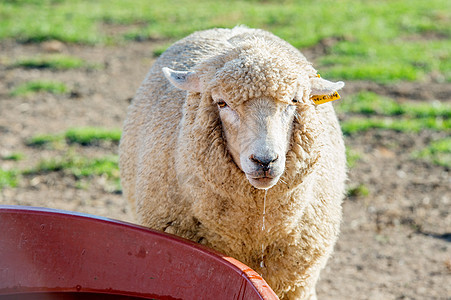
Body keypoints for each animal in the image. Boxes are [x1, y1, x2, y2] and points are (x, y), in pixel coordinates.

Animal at [119, 26, 346, 300]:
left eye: (294, 101)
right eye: (222, 103)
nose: (264, 160)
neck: (253, 232)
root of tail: (235, 29)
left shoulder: (297, 284)